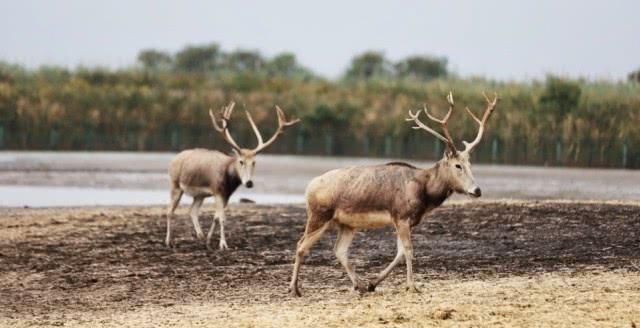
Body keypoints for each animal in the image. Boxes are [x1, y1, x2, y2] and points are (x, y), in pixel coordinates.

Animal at [166, 101, 298, 250]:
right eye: (241, 161)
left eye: (254, 162)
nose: (249, 183)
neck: (228, 180)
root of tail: (173, 159)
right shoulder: (217, 191)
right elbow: (222, 218)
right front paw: (223, 244)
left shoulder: (226, 194)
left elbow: (216, 217)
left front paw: (209, 241)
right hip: (175, 184)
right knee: (170, 211)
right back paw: (169, 242)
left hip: (199, 195)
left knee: (192, 211)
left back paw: (201, 237)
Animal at [290, 91, 500, 296]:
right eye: (457, 165)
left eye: (470, 164)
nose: (477, 190)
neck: (425, 194)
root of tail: (308, 187)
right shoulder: (401, 215)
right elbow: (408, 250)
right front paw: (412, 286)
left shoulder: (407, 221)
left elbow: (399, 252)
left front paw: (373, 283)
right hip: (319, 214)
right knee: (301, 245)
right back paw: (295, 289)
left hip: (347, 223)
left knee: (339, 250)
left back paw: (359, 285)